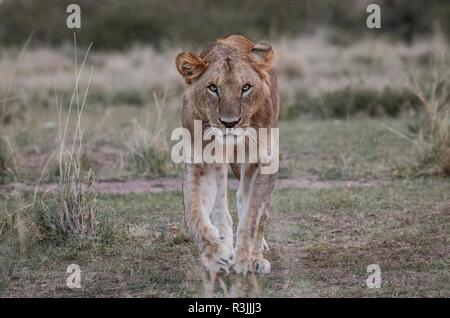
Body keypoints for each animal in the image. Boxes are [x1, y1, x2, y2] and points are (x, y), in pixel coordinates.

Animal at [175, 34, 278, 274]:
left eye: (246, 87)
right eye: (213, 88)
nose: (229, 123)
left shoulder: (264, 161)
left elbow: (254, 215)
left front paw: (249, 258)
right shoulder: (200, 161)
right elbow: (193, 213)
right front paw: (216, 253)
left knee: (244, 199)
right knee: (221, 205)